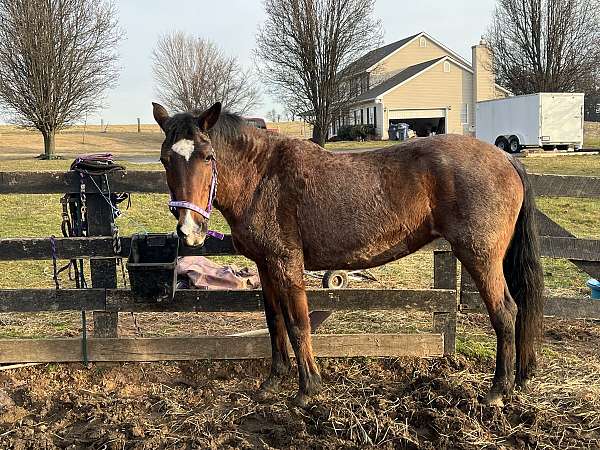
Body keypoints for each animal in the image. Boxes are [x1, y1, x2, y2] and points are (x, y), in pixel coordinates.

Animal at [151, 102, 544, 408]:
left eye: (207, 156)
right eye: (165, 159)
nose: (189, 229)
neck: (263, 177)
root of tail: (506, 158)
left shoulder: (286, 264)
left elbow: (298, 323)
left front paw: (307, 389)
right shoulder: (265, 266)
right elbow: (275, 322)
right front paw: (273, 383)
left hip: (481, 257)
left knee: (505, 312)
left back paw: (498, 390)